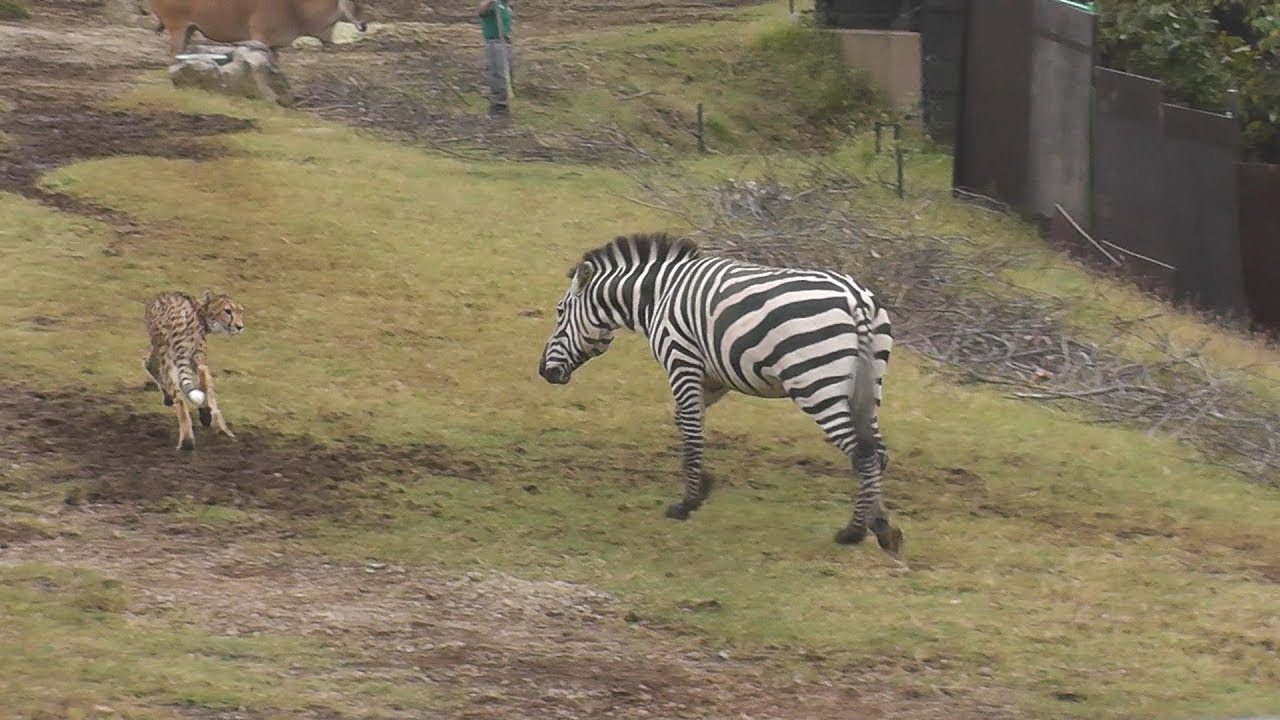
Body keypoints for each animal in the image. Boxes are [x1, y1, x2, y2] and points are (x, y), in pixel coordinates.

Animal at [540, 230, 911, 561]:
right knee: (876, 452)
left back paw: (855, 531)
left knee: (862, 453)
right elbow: (687, 423)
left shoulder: (681, 359)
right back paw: (882, 528)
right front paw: (703, 484)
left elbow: (691, 431)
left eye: (559, 311)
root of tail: (855, 299)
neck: (656, 296)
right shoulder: (714, 377)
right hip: (868, 382)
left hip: (816, 382)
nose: (544, 372)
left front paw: (686, 503)